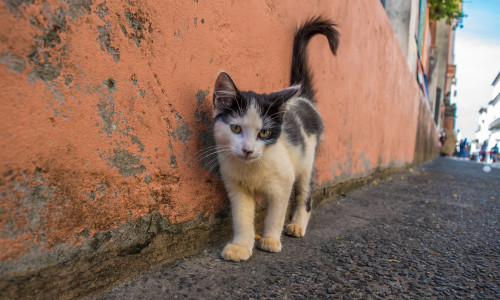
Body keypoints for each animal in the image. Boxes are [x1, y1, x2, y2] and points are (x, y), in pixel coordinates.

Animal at [212, 16, 340, 262]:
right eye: (235, 128)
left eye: (264, 133)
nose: (248, 150)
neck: (252, 168)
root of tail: (303, 99)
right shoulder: (236, 186)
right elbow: (242, 216)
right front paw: (241, 246)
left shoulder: (284, 181)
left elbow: (276, 214)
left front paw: (270, 239)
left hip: (307, 159)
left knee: (305, 193)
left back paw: (297, 225)